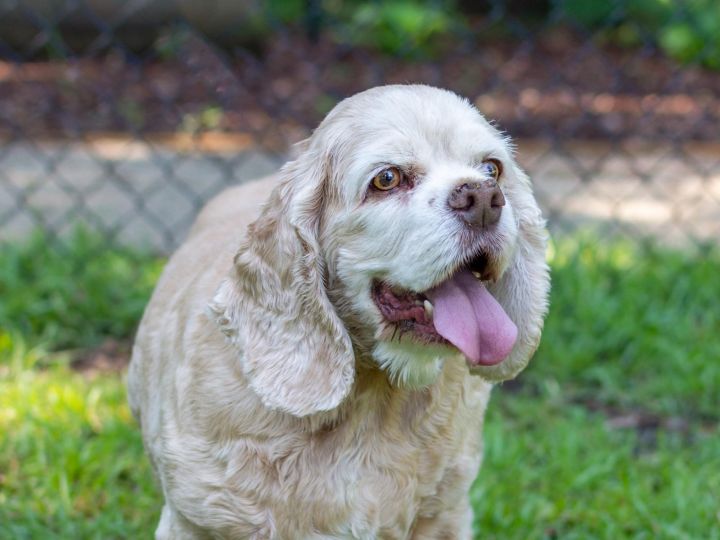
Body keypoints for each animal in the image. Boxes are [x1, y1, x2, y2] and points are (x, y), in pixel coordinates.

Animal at [126, 83, 548, 536]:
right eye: (387, 178)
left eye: (492, 168)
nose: (484, 198)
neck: (370, 401)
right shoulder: (195, 521)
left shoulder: (446, 516)